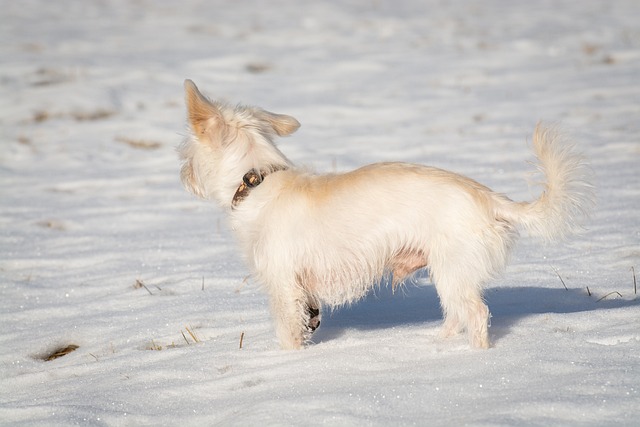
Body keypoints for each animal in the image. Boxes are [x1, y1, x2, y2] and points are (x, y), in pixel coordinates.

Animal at [178, 80, 592, 352]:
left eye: (186, 152)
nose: (183, 174)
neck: (258, 181)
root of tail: (491, 199)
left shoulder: (284, 288)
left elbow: (288, 334)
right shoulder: (304, 294)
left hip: (453, 270)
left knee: (474, 315)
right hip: (450, 274)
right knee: (456, 316)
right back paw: (434, 345)